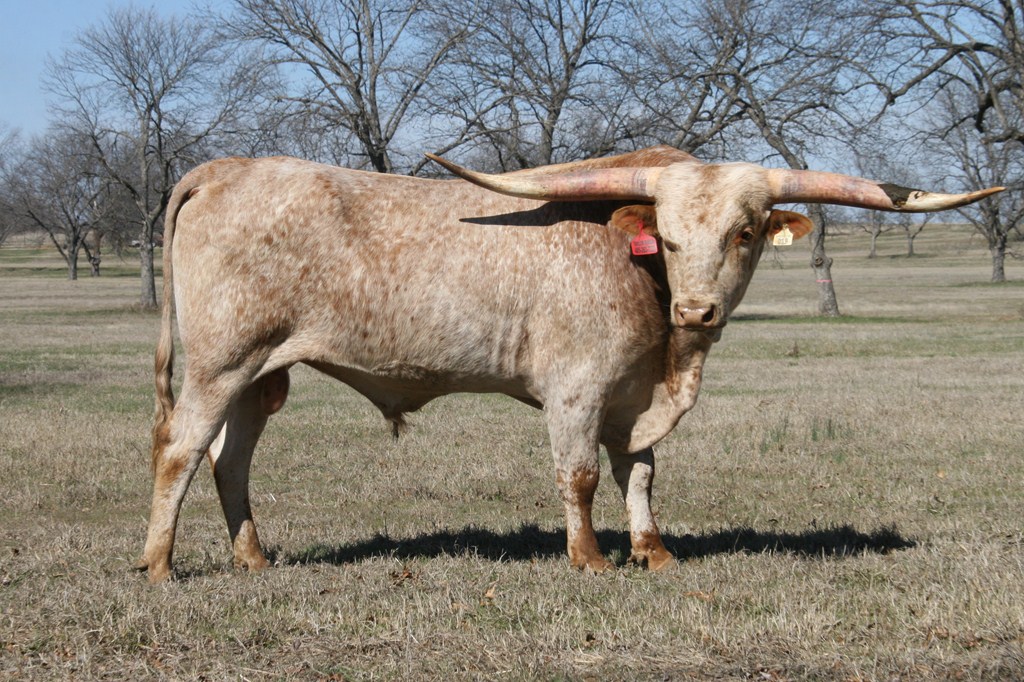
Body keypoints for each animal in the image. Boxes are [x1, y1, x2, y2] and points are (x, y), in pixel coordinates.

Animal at [136, 145, 1001, 582]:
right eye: (668, 237)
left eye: (745, 233)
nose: (697, 311)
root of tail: (223, 168)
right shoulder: (577, 389)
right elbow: (580, 474)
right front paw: (588, 559)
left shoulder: (632, 398)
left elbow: (641, 474)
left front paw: (653, 550)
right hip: (219, 363)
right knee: (180, 450)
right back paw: (159, 565)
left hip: (260, 376)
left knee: (229, 460)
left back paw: (252, 559)